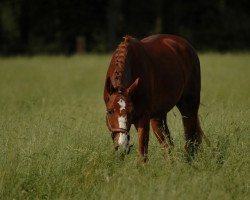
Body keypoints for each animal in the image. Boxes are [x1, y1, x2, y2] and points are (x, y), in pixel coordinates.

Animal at [104, 33, 204, 161]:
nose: (122, 146)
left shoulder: (143, 118)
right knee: (167, 144)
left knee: (190, 135)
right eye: (110, 111)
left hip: (189, 106)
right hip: (158, 116)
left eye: (131, 111)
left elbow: (142, 153)